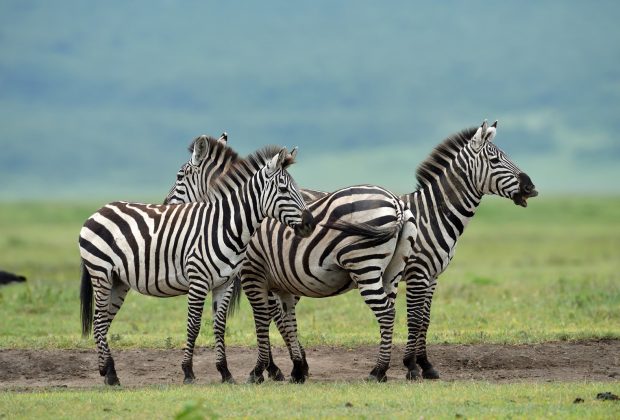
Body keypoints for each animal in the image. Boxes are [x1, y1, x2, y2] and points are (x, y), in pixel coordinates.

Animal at [78, 139, 318, 386]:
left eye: (296, 188)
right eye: (283, 190)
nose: (310, 223)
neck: (225, 226)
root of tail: (101, 209)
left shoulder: (225, 283)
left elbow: (220, 325)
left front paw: (225, 372)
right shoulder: (199, 280)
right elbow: (194, 325)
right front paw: (188, 372)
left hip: (118, 282)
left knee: (102, 321)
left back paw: (107, 371)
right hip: (101, 274)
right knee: (99, 321)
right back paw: (110, 374)